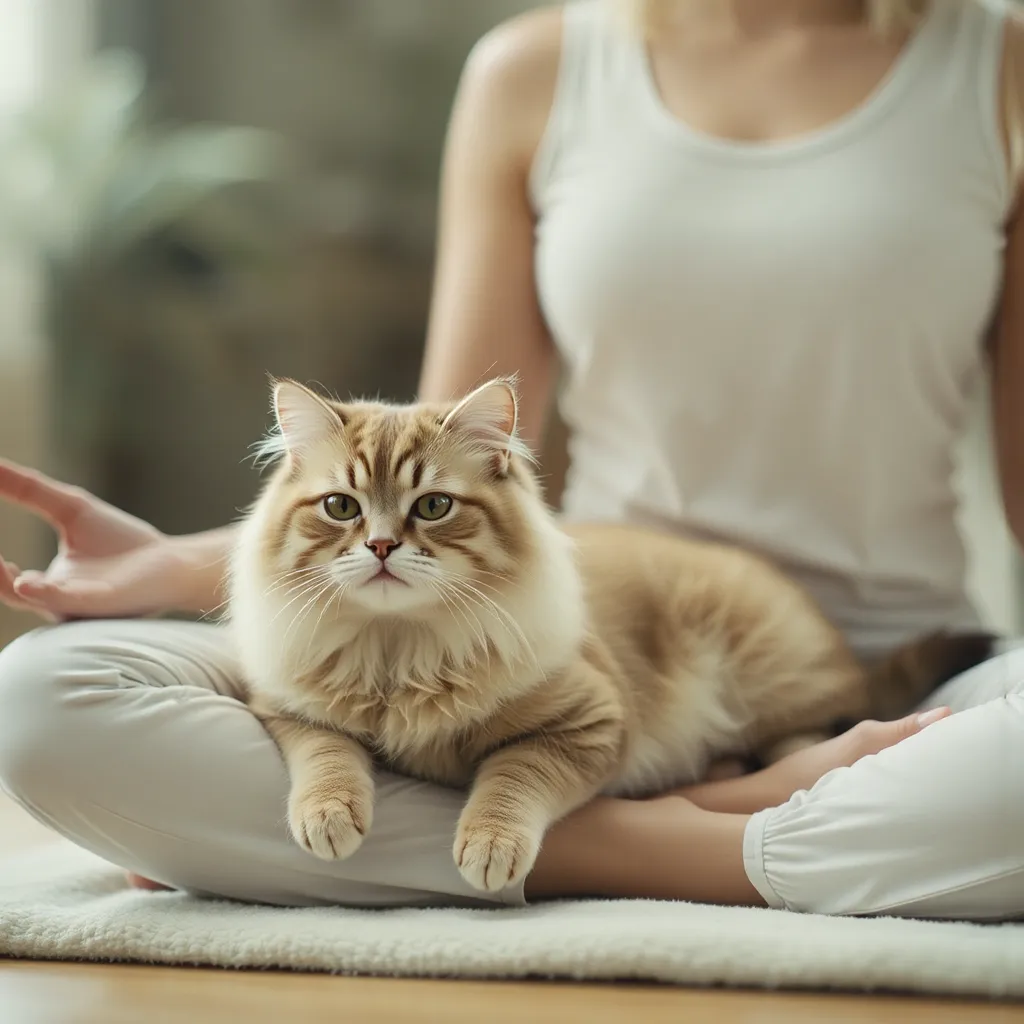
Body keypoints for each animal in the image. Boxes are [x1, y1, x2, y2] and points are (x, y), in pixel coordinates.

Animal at [232, 380, 991, 892]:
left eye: (434, 506)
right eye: (341, 507)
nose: (383, 546)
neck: (400, 650)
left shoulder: (588, 722)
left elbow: (510, 780)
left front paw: (488, 849)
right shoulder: (286, 707)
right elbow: (327, 755)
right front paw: (329, 816)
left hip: (765, 675)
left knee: (808, 739)